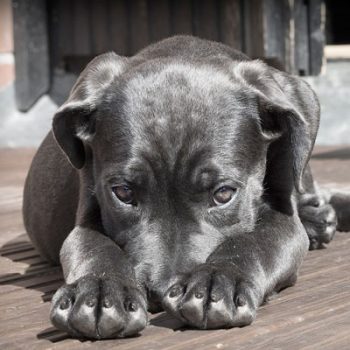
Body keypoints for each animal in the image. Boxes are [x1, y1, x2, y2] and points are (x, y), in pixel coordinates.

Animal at [22, 36, 350, 340]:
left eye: (223, 194)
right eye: (123, 193)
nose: (159, 291)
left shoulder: (283, 216)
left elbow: (255, 241)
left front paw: (218, 280)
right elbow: (91, 245)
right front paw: (100, 290)